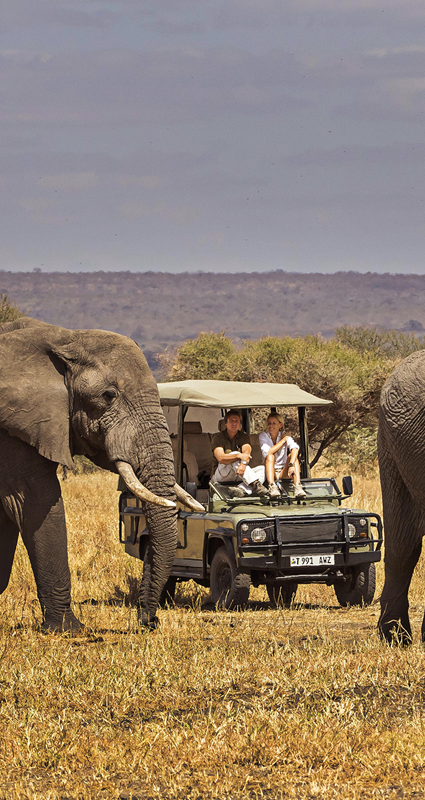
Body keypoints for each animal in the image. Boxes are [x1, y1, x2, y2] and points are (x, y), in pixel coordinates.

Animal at [0, 316, 200, 633]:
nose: (149, 621)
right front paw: (68, 630)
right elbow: (35, 501)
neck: (63, 337)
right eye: (108, 396)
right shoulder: (12, 429)